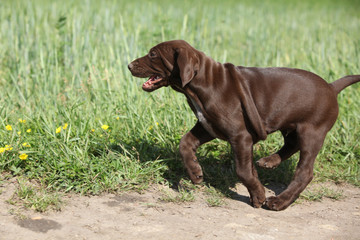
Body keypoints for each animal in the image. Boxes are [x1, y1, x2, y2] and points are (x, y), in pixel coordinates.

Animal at [128, 39, 358, 210]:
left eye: (153, 55)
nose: (129, 65)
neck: (200, 84)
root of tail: (331, 87)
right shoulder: (208, 125)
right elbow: (185, 143)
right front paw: (195, 172)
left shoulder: (240, 136)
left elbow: (242, 170)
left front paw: (258, 195)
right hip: (291, 125)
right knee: (291, 144)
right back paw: (269, 161)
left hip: (312, 131)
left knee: (305, 172)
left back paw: (280, 201)